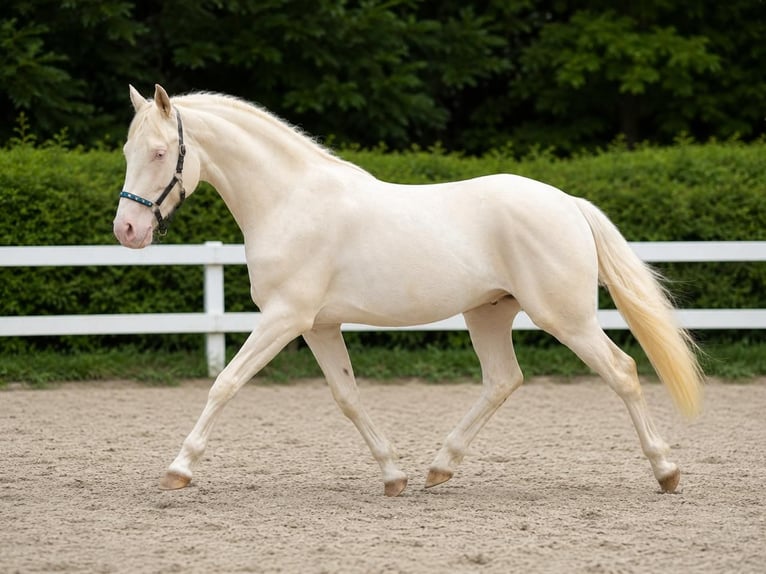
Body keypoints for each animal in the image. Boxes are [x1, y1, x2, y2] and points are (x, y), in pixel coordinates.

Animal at [114, 84, 703, 497]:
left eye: (161, 152)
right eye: (126, 150)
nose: (127, 230)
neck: (290, 201)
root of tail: (568, 202)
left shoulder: (284, 318)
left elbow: (226, 383)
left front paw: (178, 470)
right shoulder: (319, 326)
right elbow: (347, 397)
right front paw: (392, 475)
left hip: (566, 317)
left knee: (622, 370)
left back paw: (667, 471)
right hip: (488, 314)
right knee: (502, 380)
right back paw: (438, 468)